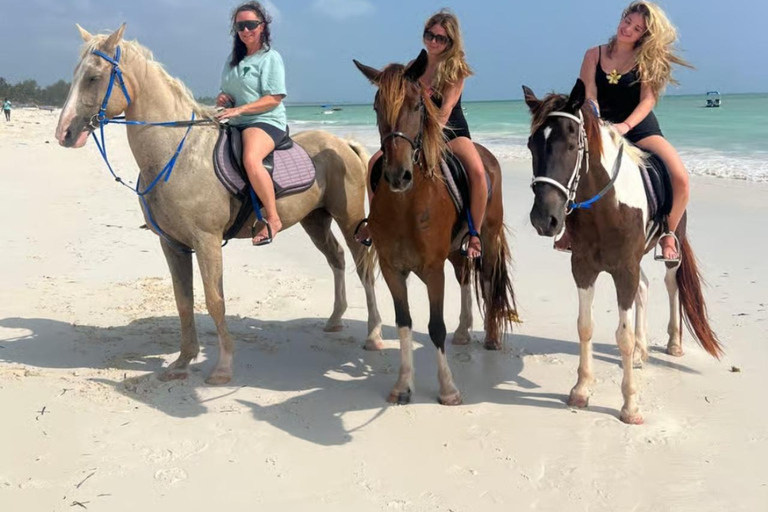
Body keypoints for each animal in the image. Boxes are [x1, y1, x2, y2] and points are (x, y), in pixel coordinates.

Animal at [55, 24, 383, 385]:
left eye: (94, 77)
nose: (64, 132)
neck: (178, 154)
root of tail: (343, 143)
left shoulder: (207, 241)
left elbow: (215, 300)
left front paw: (223, 367)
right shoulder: (173, 245)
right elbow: (184, 301)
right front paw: (182, 362)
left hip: (348, 218)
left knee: (364, 268)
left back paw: (374, 335)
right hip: (315, 219)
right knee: (336, 258)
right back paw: (335, 320)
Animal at [353, 50, 519, 405]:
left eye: (418, 105)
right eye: (376, 107)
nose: (398, 175)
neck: (407, 205)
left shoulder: (432, 270)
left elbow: (435, 326)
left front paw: (448, 389)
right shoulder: (392, 268)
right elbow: (404, 322)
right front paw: (403, 385)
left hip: (487, 235)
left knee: (486, 278)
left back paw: (491, 337)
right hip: (456, 250)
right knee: (465, 276)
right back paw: (464, 331)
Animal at [522, 79, 722, 424]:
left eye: (571, 146)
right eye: (532, 145)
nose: (544, 219)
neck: (605, 206)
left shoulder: (623, 269)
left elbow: (623, 336)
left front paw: (630, 405)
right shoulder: (584, 267)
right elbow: (585, 326)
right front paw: (581, 389)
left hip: (670, 250)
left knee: (671, 286)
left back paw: (673, 343)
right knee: (644, 287)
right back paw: (643, 350)